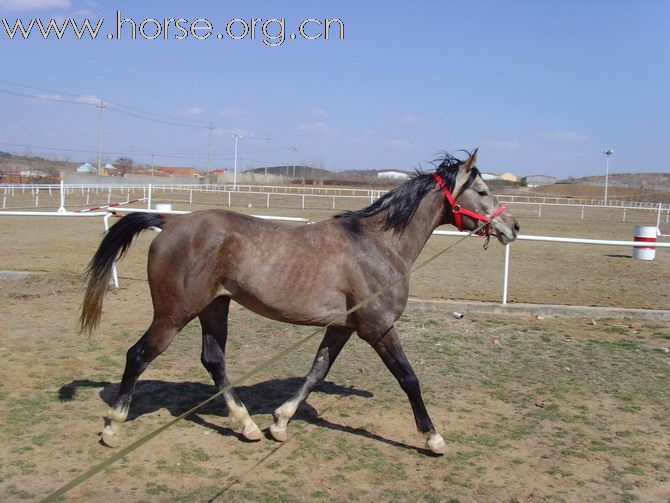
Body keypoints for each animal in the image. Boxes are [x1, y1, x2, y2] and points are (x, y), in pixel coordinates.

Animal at [79, 150, 520, 456]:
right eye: (482, 191)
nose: (512, 227)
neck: (378, 244)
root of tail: (171, 222)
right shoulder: (378, 327)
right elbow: (408, 378)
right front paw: (433, 437)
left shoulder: (341, 327)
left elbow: (316, 373)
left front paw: (279, 422)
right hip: (174, 314)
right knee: (138, 355)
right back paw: (113, 428)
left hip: (214, 307)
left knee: (213, 360)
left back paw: (247, 426)